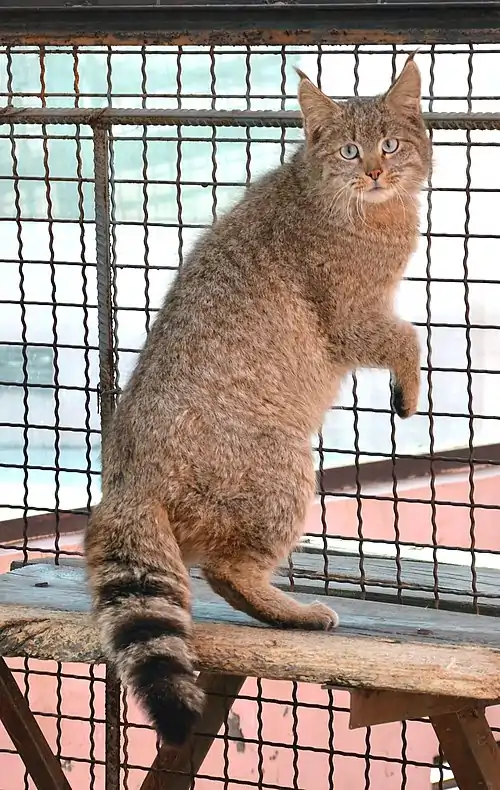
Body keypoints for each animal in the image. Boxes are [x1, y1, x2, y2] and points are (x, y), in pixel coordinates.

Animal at [85, 55, 430, 748]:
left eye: (390, 144)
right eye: (350, 151)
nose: (376, 172)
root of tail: (125, 482)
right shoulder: (353, 318)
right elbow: (406, 335)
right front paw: (406, 390)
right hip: (283, 469)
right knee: (227, 570)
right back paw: (295, 612)